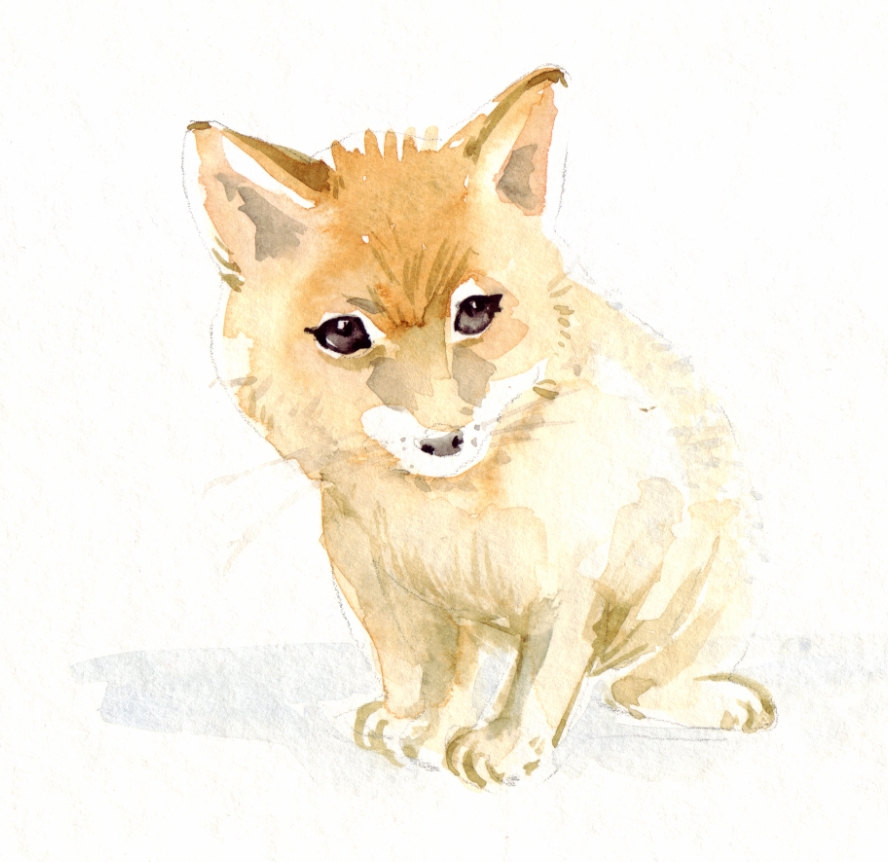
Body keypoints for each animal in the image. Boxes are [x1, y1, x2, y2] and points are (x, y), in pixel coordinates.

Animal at [184, 66, 774, 788]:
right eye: (344, 333)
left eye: (476, 312)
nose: (443, 439)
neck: (451, 513)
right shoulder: (387, 587)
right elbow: (424, 671)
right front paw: (418, 729)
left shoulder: (573, 581)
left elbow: (539, 676)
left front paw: (505, 748)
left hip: (711, 589)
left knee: (638, 682)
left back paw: (715, 699)